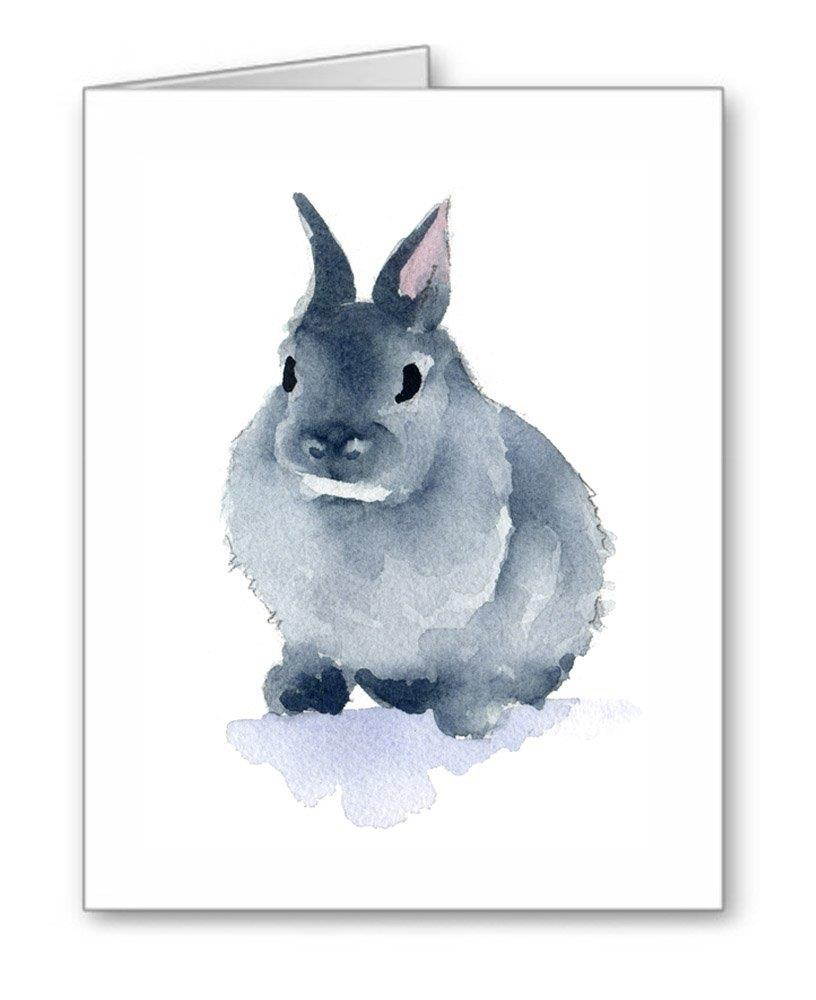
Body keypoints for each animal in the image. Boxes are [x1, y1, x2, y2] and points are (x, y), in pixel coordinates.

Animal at [223, 193, 612, 738]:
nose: (331, 442)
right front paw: (293, 694)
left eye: (410, 380)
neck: (356, 509)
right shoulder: (306, 630)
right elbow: (312, 654)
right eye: (289, 372)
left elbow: (479, 670)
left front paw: (468, 719)